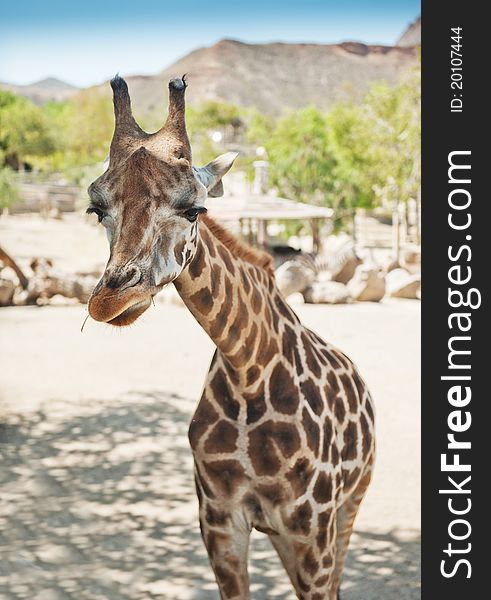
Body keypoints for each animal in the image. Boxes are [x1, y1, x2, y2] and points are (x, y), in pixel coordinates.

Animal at [86, 76, 374, 600]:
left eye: (194, 209)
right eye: (96, 209)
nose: (110, 300)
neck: (248, 370)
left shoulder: (311, 528)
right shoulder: (219, 522)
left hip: (348, 507)